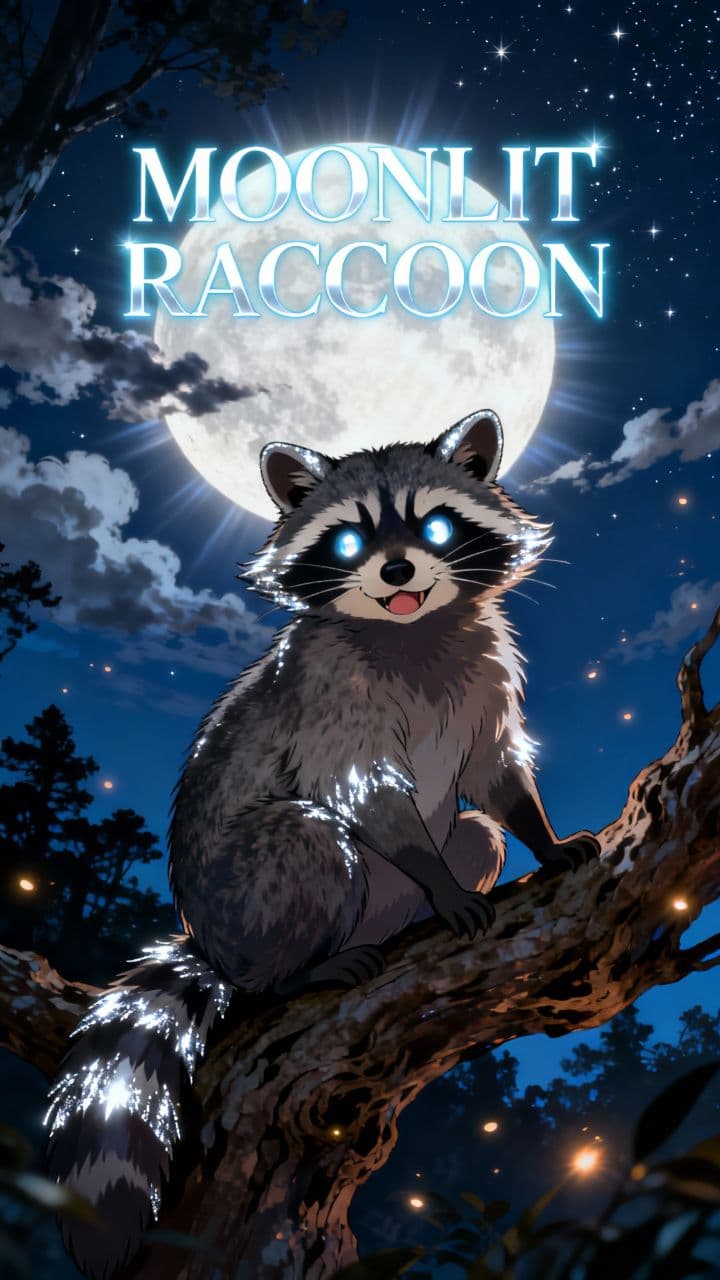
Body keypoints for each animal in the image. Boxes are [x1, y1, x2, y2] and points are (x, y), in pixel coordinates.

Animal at [46, 410, 599, 1278]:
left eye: (436, 526)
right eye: (348, 540)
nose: (398, 568)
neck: (412, 628)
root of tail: (211, 940)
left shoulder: (486, 668)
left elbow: (495, 774)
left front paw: (540, 836)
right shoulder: (329, 693)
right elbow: (361, 791)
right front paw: (441, 884)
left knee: (475, 834)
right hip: (247, 889)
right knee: (306, 838)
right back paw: (296, 971)